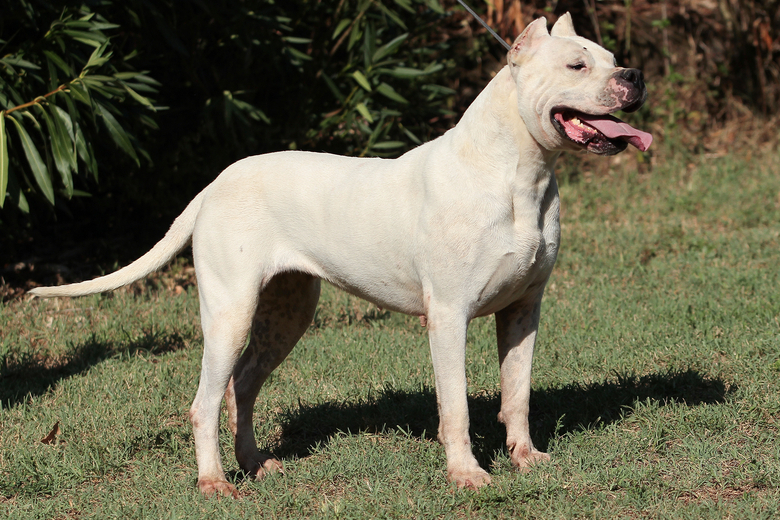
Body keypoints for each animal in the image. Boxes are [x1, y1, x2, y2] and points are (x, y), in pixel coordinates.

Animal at [30, 13, 648, 496]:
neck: (518, 173)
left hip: (286, 313)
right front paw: (466, 474)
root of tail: (214, 184)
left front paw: (525, 458)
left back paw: (257, 465)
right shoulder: (449, 317)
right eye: (577, 66)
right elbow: (456, 406)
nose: (634, 75)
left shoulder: (523, 311)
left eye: (613, 59)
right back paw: (214, 482)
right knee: (204, 402)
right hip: (230, 314)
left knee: (242, 386)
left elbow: (516, 393)